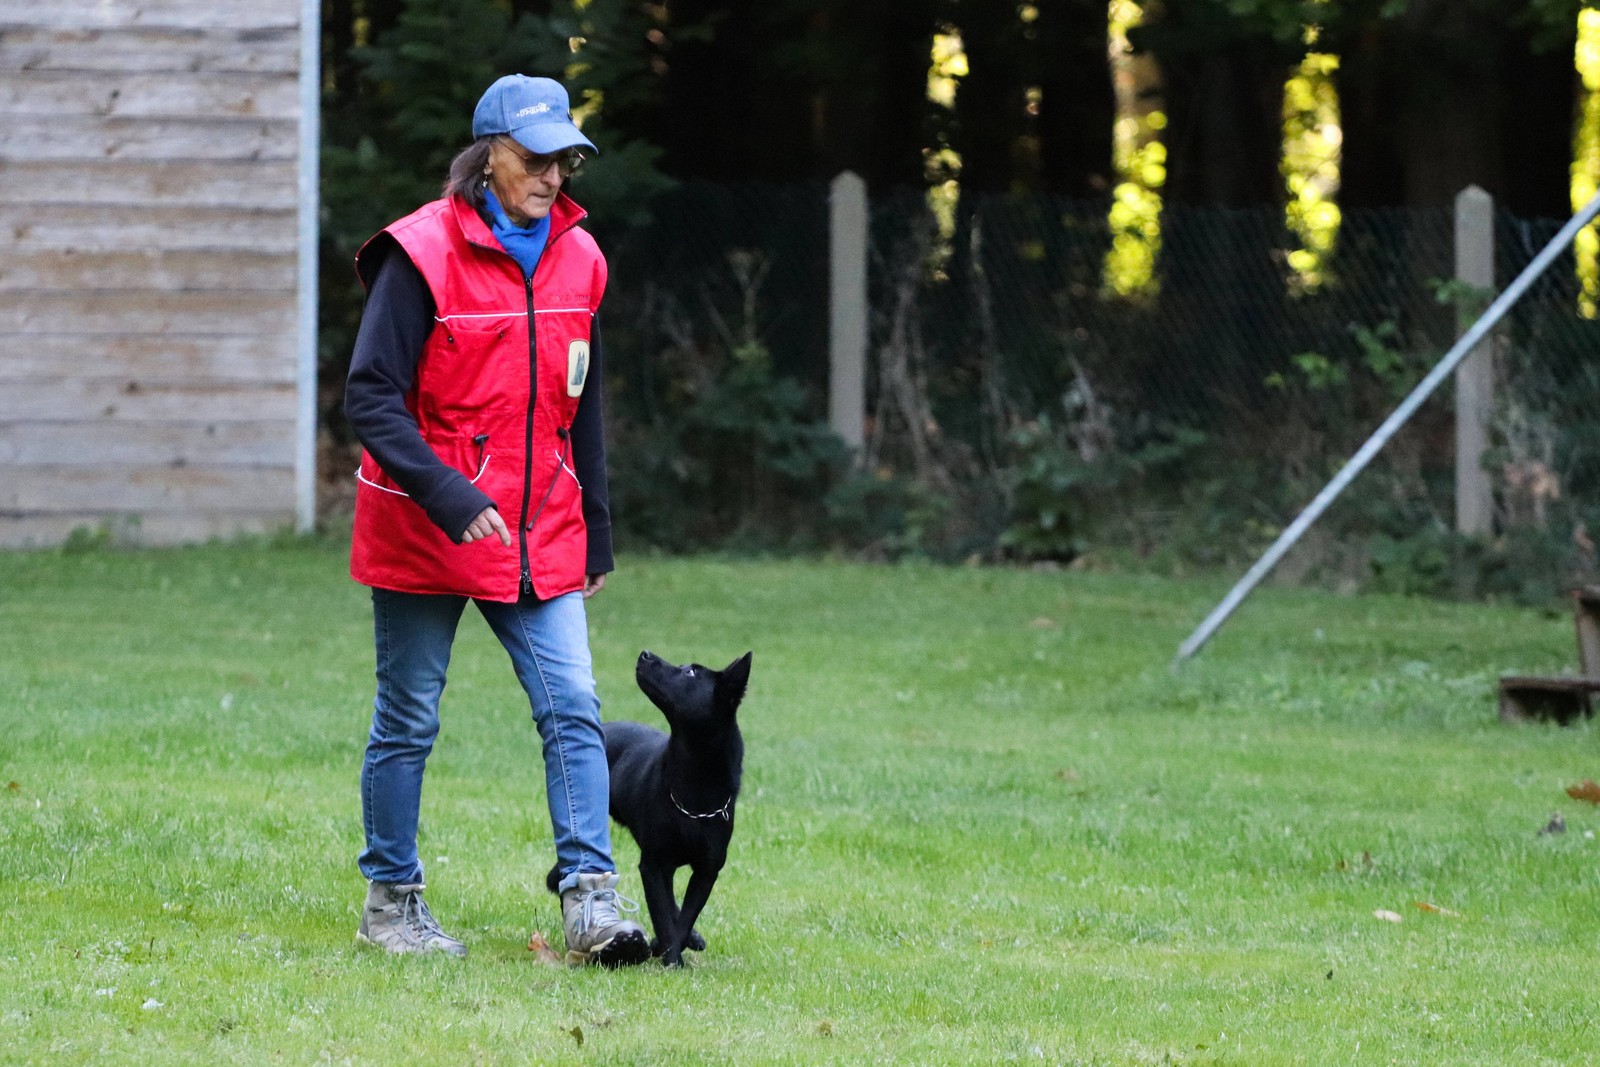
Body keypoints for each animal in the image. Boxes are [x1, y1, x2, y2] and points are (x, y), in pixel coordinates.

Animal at [550, 649, 751, 966]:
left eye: (691, 672)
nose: (645, 654)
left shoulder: (707, 870)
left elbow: (684, 917)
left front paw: (673, 949)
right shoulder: (654, 865)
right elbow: (664, 915)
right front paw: (671, 959)